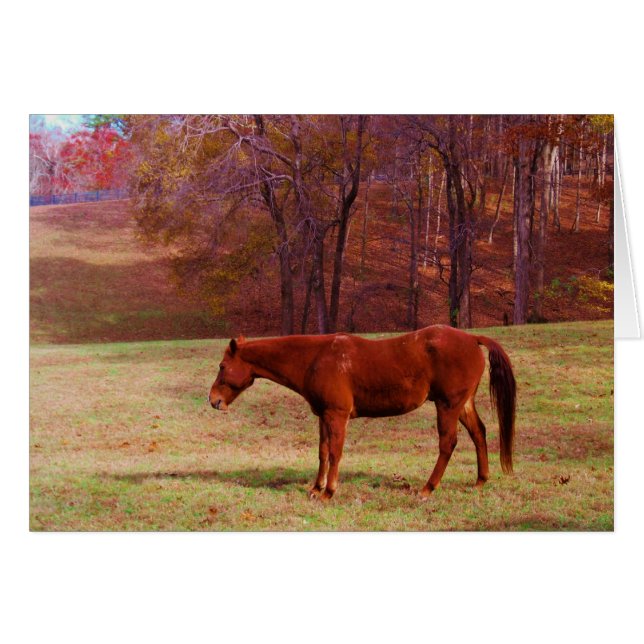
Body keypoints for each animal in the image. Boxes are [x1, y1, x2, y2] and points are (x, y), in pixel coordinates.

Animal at [208, 325, 516, 500]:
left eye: (222, 366)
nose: (213, 400)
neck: (315, 358)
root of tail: (472, 338)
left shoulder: (337, 415)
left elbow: (335, 453)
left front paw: (329, 492)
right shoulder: (323, 416)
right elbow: (322, 452)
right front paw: (315, 488)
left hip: (447, 405)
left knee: (447, 443)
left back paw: (428, 488)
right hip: (462, 405)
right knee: (479, 433)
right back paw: (480, 481)